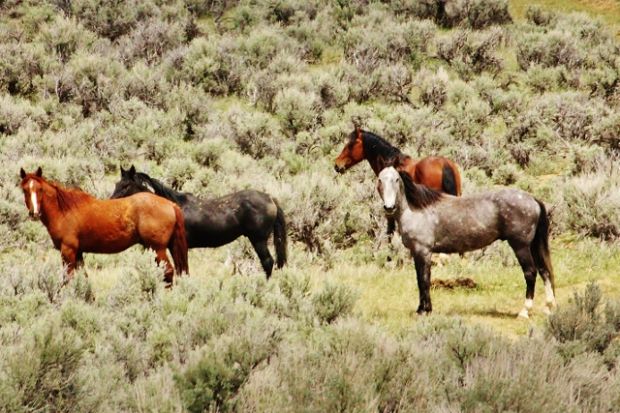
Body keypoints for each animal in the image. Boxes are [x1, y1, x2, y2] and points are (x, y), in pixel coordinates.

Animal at [20, 167, 189, 284]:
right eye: (25, 190)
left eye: (40, 189)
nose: (34, 213)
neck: (65, 209)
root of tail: (171, 204)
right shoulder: (78, 252)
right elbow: (83, 278)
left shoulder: (68, 251)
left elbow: (68, 278)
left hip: (158, 249)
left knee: (168, 272)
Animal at [110, 166, 286, 278]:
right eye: (117, 184)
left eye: (126, 186)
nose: (110, 203)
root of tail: (270, 199)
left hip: (258, 240)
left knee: (268, 262)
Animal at [378, 166, 556, 318]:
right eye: (380, 180)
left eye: (396, 179)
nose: (389, 207)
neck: (417, 209)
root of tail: (533, 199)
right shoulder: (418, 253)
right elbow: (421, 279)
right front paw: (423, 309)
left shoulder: (423, 251)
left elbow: (423, 280)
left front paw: (424, 310)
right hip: (533, 246)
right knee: (544, 271)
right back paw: (548, 307)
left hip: (520, 246)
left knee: (530, 273)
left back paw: (524, 311)